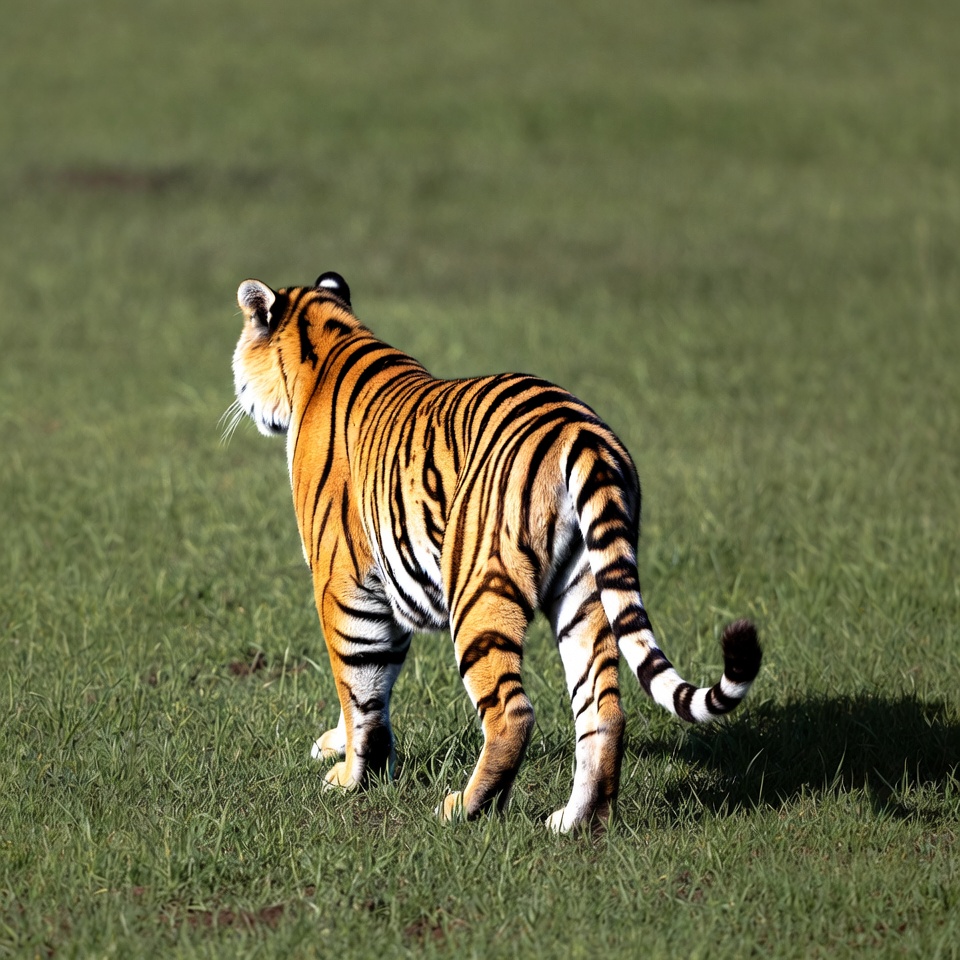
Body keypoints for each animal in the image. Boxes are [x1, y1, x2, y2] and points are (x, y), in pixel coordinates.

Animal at [228, 270, 761, 832]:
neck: (329, 341)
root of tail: (580, 430)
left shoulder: (343, 580)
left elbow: (358, 683)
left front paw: (352, 776)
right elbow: (376, 682)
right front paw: (343, 749)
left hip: (480, 591)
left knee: (513, 713)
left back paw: (464, 806)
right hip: (586, 590)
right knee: (604, 710)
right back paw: (578, 822)